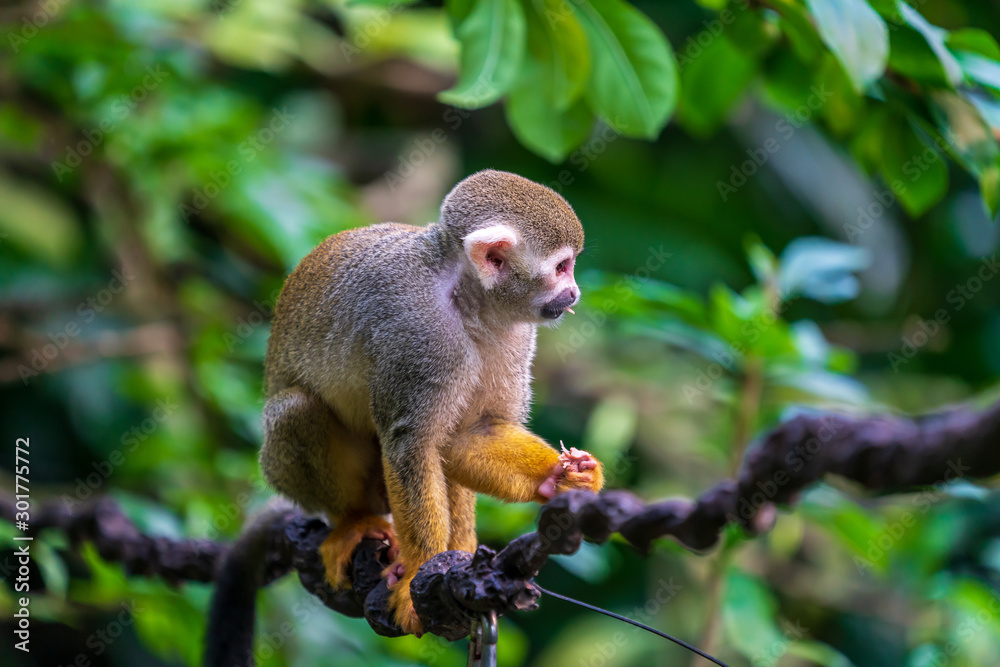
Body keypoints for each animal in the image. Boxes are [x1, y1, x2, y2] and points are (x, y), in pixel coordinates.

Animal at [258, 168, 604, 636]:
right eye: (562, 268)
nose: (574, 293)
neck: (468, 299)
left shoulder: (516, 335)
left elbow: (471, 435)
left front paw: (559, 477)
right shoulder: (421, 332)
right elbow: (411, 444)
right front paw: (417, 579)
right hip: (282, 472)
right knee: (298, 410)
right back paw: (354, 521)